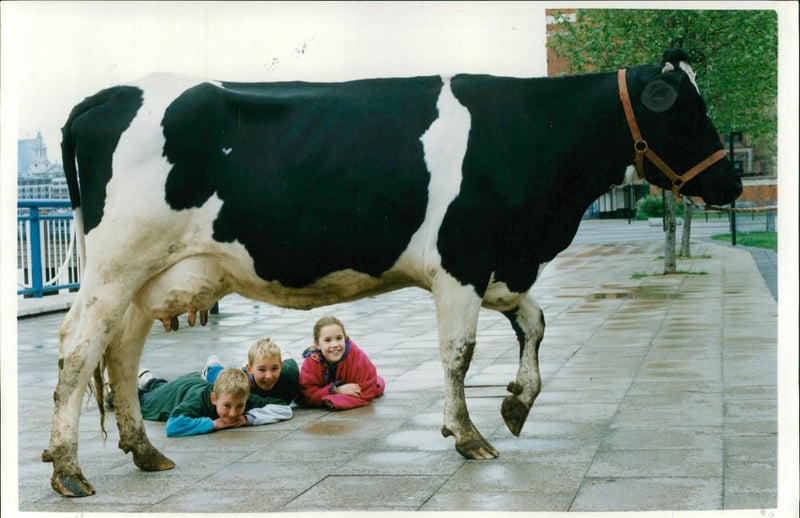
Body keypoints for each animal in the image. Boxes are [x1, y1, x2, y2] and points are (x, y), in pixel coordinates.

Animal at [47, 49, 740, 500]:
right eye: (687, 111)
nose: (732, 184)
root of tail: (105, 96)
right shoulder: (461, 264)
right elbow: (459, 353)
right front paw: (467, 434)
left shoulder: (500, 267)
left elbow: (536, 323)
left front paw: (516, 403)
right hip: (114, 268)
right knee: (80, 349)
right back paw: (67, 468)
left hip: (149, 280)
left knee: (122, 353)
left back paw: (145, 451)